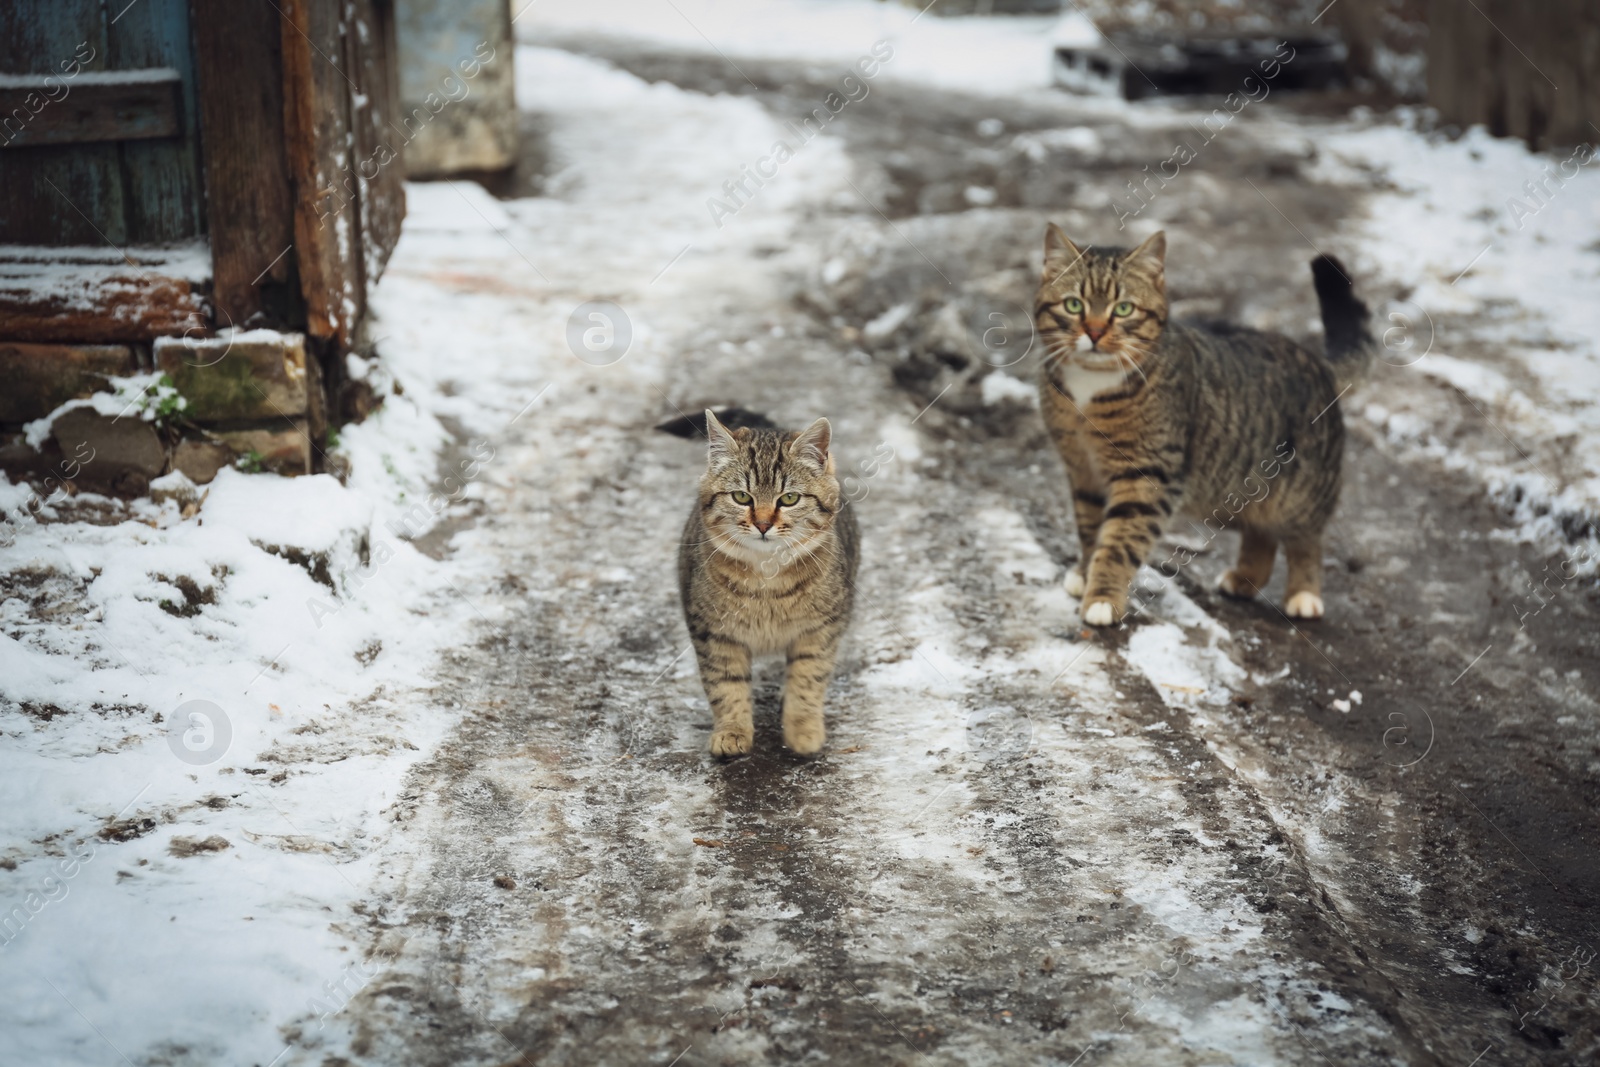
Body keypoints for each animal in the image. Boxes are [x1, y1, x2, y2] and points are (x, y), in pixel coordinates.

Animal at [675, 412, 857, 758]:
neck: (767, 576)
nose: (762, 524)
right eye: (741, 496)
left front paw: (803, 729)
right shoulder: (713, 632)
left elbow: (807, 678)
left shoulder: (821, 629)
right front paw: (732, 730)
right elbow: (726, 684)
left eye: (789, 498)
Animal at [1036, 227, 1376, 627]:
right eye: (1074, 305)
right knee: (1262, 538)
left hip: (1300, 496)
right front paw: (1085, 572)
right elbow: (1090, 530)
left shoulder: (1147, 477)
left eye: (1123, 309)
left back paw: (1304, 594)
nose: (1093, 332)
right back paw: (1245, 579)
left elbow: (1119, 543)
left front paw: (1103, 597)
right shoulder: (1083, 471)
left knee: (1305, 542)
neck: (1091, 384)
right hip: (1242, 491)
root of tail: (1317, 362)